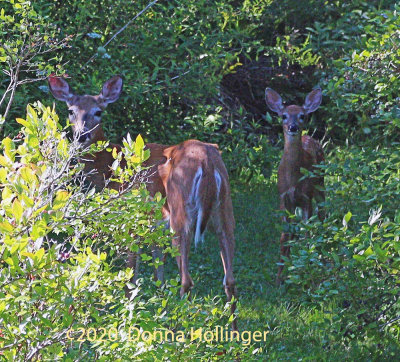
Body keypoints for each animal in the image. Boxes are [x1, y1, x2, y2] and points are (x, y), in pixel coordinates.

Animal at [49, 75, 238, 330]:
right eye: (71, 110)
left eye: (98, 112)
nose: (81, 135)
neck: (110, 168)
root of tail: (207, 162)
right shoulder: (155, 225)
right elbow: (159, 277)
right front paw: (157, 314)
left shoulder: (130, 218)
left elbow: (131, 276)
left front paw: (129, 320)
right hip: (224, 208)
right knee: (230, 279)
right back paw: (234, 337)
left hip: (181, 210)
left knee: (187, 280)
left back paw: (179, 330)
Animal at [266, 86, 324, 284]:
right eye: (283, 115)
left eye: (302, 116)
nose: (293, 127)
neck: (292, 179)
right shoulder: (283, 198)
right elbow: (284, 237)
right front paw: (279, 277)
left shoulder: (306, 196)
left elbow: (307, 233)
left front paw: (307, 268)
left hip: (321, 185)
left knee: (322, 216)